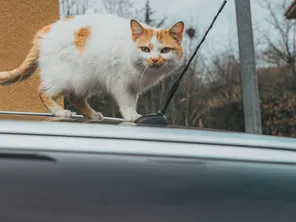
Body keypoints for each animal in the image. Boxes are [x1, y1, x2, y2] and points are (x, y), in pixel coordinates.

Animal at [0, 12, 185, 121]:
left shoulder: (134, 87)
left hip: (85, 79)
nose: (154, 60)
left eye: (165, 50)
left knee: (76, 97)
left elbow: (132, 100)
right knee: (43, 91)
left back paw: (92, 114)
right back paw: (60, 112)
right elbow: (126, 102)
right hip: (64, 78)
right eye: (145, 49)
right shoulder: (121, 84)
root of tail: (44, 31)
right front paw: (132, 115)